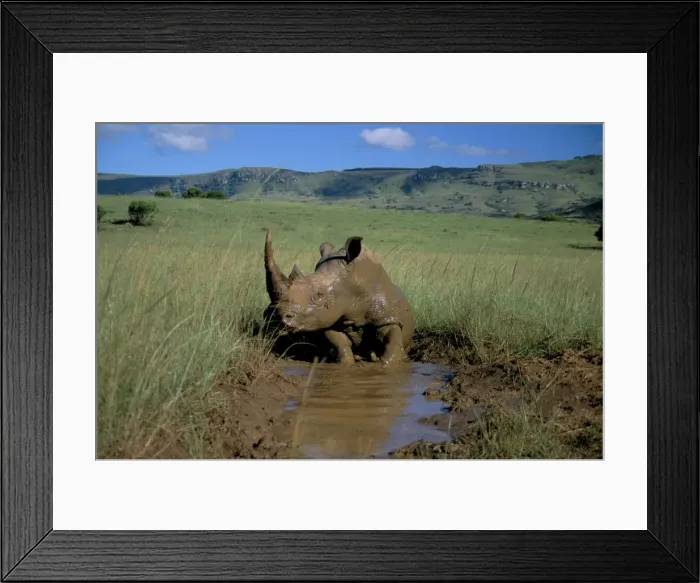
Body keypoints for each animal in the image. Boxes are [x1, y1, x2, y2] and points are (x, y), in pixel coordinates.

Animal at [263, 229, 415, 367]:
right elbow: (339, 343)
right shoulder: (332, 317)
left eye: (319, 295)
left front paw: (386, 364)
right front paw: (345, 363)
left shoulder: (386, 317)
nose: (275, 316)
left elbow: (391, 340)